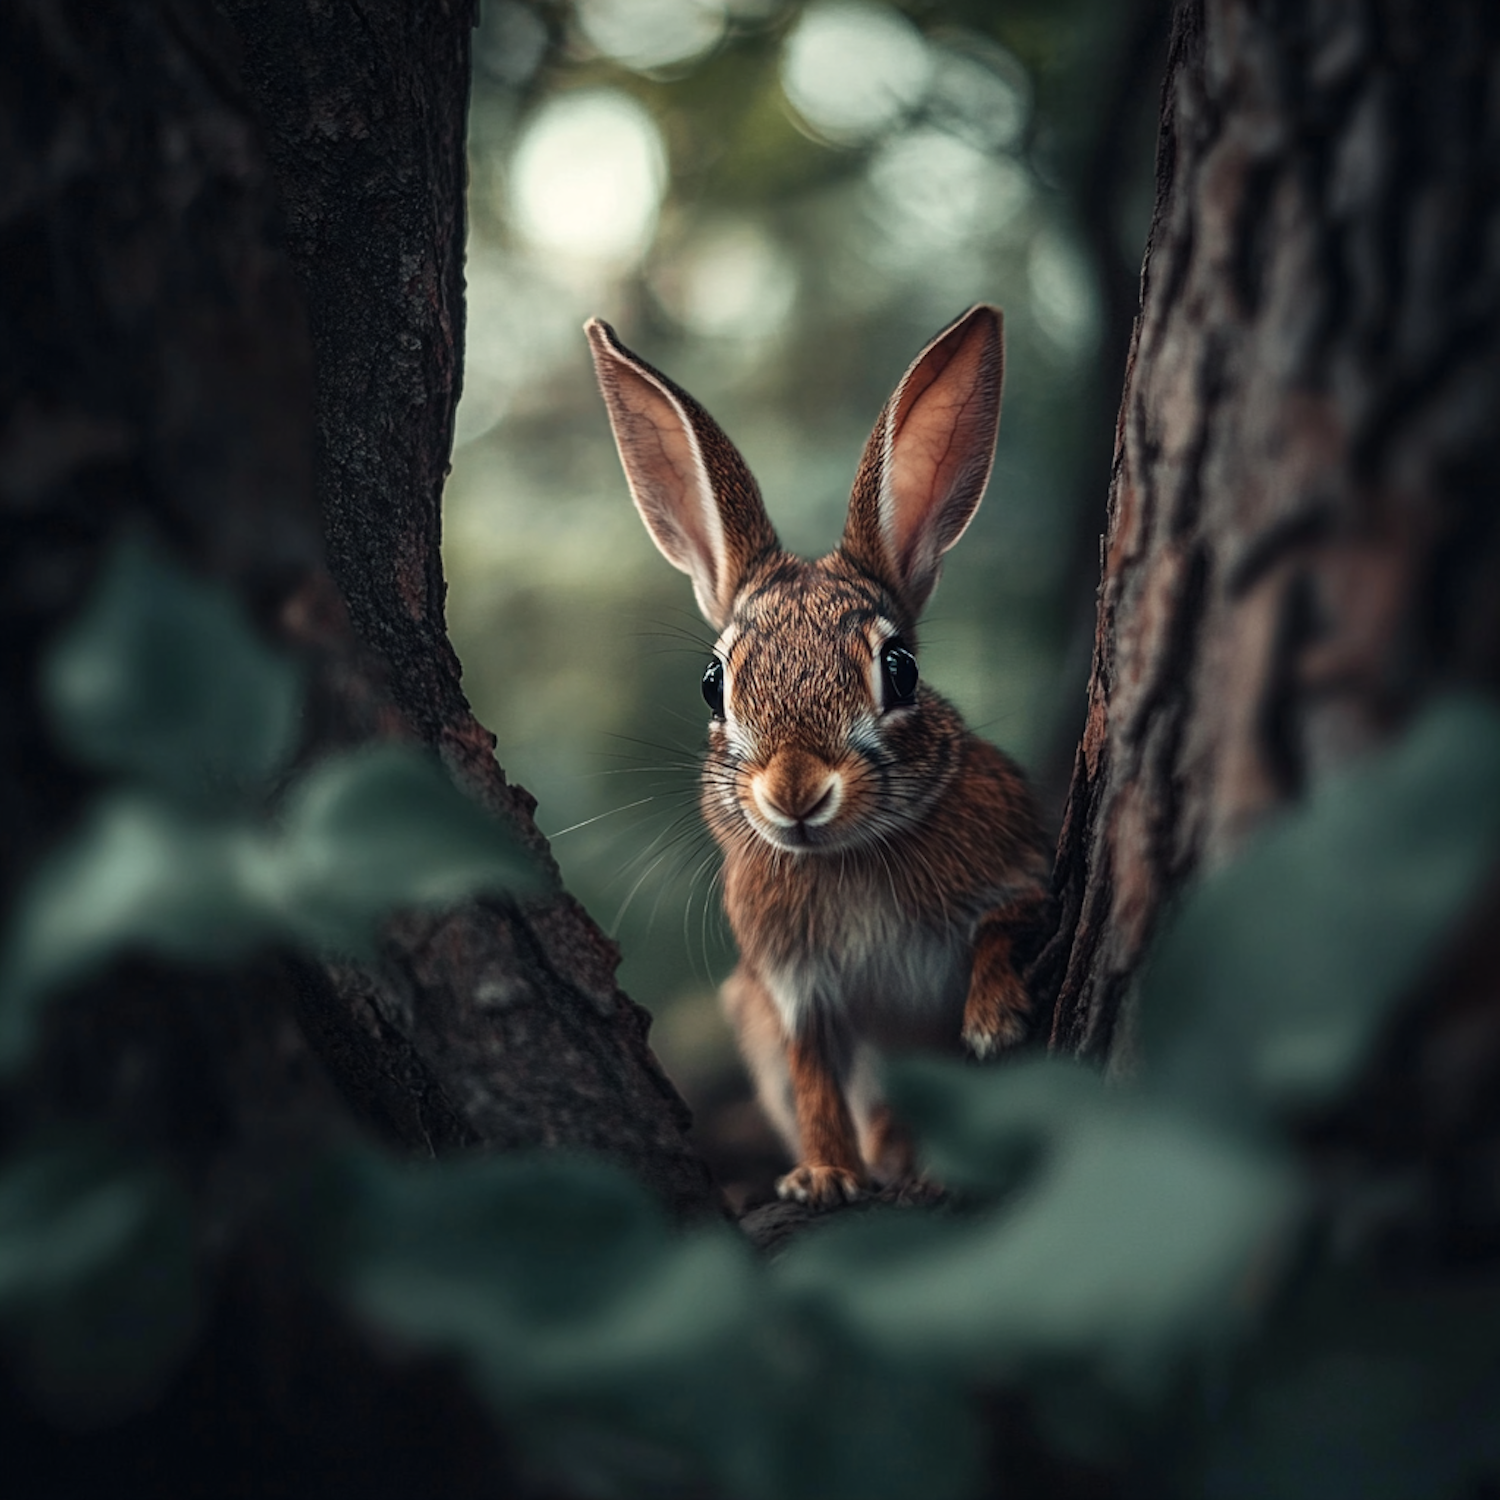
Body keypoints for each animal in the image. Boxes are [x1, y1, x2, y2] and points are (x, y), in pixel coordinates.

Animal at [579, 304, 1050, 1206]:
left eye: (900, 670)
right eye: (712, 685)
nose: (795, 791)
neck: (849, 857)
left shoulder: (1025, 868)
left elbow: (1007, 920)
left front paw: (992, 1019)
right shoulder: (794, 993)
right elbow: (814, 1077)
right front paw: (826, 1178)